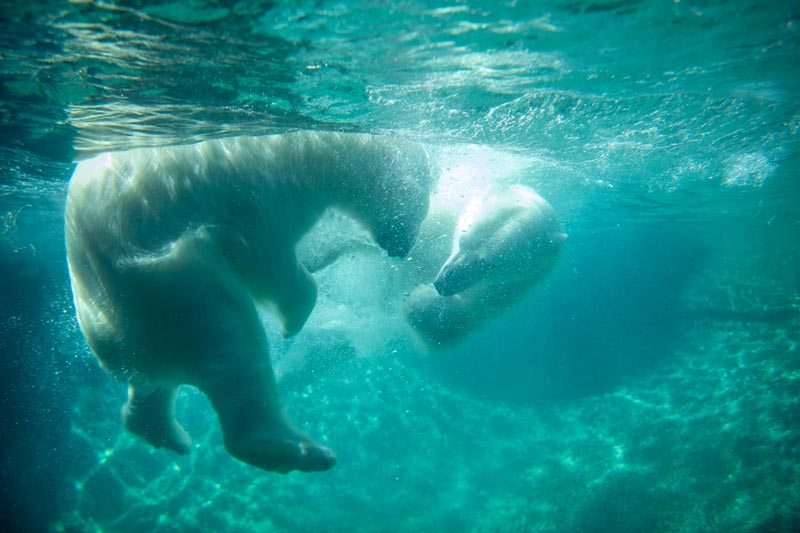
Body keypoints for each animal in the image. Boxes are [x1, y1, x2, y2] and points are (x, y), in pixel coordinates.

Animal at [65, 131, 434, 472]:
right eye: (421, 195)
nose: (401, 248)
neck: (309, 144)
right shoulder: (259, 193)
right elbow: (269, 261)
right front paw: (294, 316)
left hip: (133, 321)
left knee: (152, 381)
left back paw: (164, 432)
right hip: (170, 289)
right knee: (232, 349)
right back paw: (302, 451)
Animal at [404, 185, 564, 348]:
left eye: (487, 264)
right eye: (462, 240)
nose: (441, 283)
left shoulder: (511, 287)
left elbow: (455, 321)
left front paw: (420, 300)